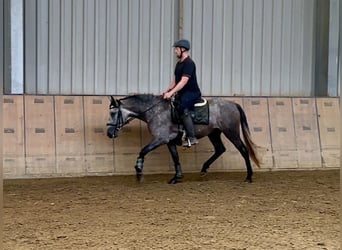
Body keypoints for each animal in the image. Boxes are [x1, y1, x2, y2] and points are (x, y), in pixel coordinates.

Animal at [106, 94, 260, 184]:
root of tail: (233, 104)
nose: (109, 133)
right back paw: (204, 169)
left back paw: (249, 177)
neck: (155, 112)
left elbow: (143, 150)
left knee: (243, 150)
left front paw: (138, 171)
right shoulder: (169, 142)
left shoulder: (160, 139)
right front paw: (177, 177)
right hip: (214, 133)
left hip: (231, 132)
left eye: (113, 113)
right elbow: (175, 158)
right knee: (220, 149)